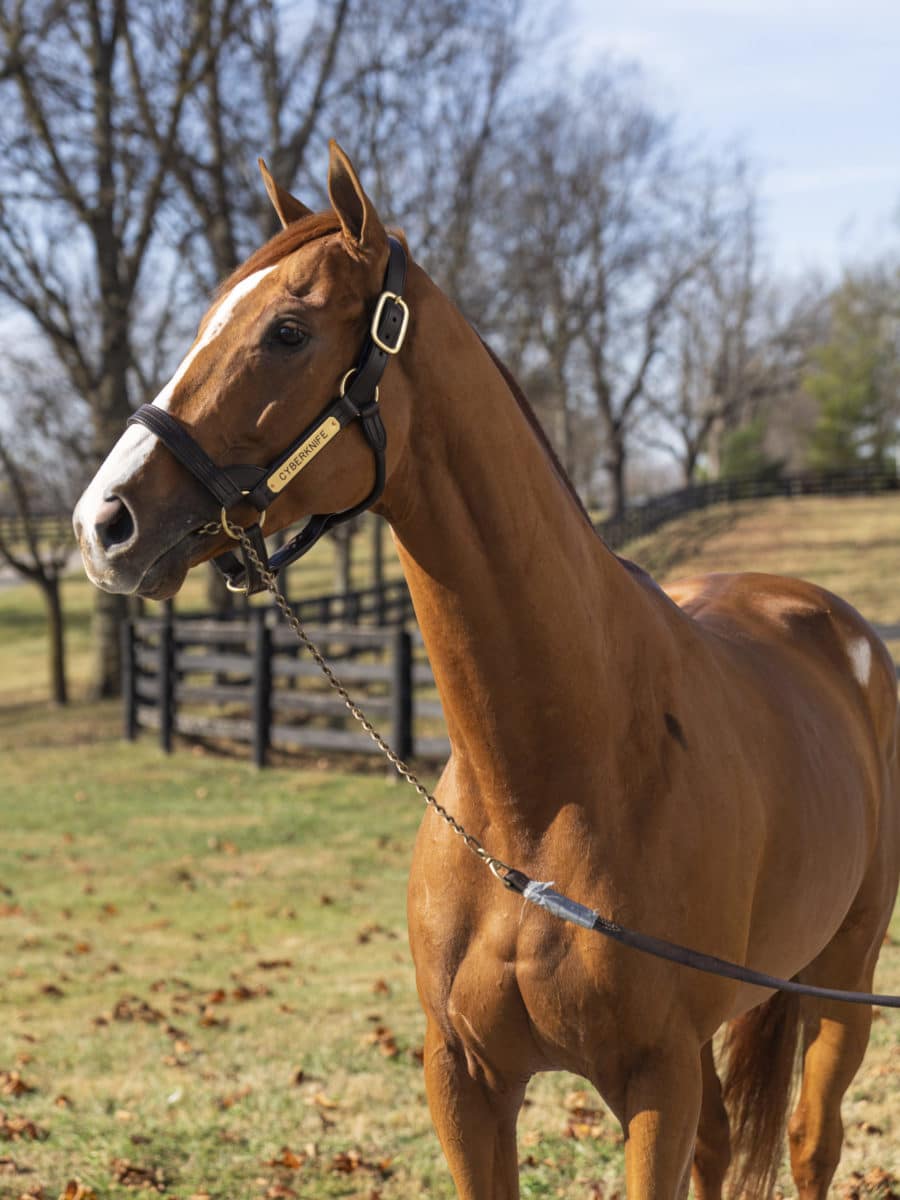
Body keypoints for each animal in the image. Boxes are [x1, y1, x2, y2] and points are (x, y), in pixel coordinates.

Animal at [75, 142, 900, 1200]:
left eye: (288, 332)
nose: (104, 523)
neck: (543, 795)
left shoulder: (655, 1082)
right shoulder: (464, 1079)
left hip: (844, 983)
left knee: (810, 1139)